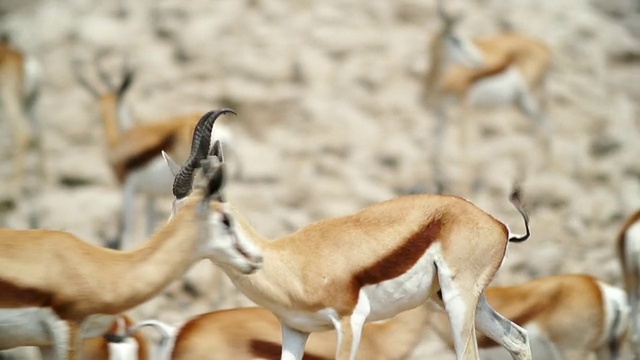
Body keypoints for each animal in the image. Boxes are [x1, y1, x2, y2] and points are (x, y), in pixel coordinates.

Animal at [422, 0, 552, 194]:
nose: (479, 61)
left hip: (527, 97)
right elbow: (437, 146)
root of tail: (545, 47)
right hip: (520, 102)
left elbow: (464, 144)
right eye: (456, 39)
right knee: (545, 125)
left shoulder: (465, 104)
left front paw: (464, 190)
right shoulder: (441, 111)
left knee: (545, 126)